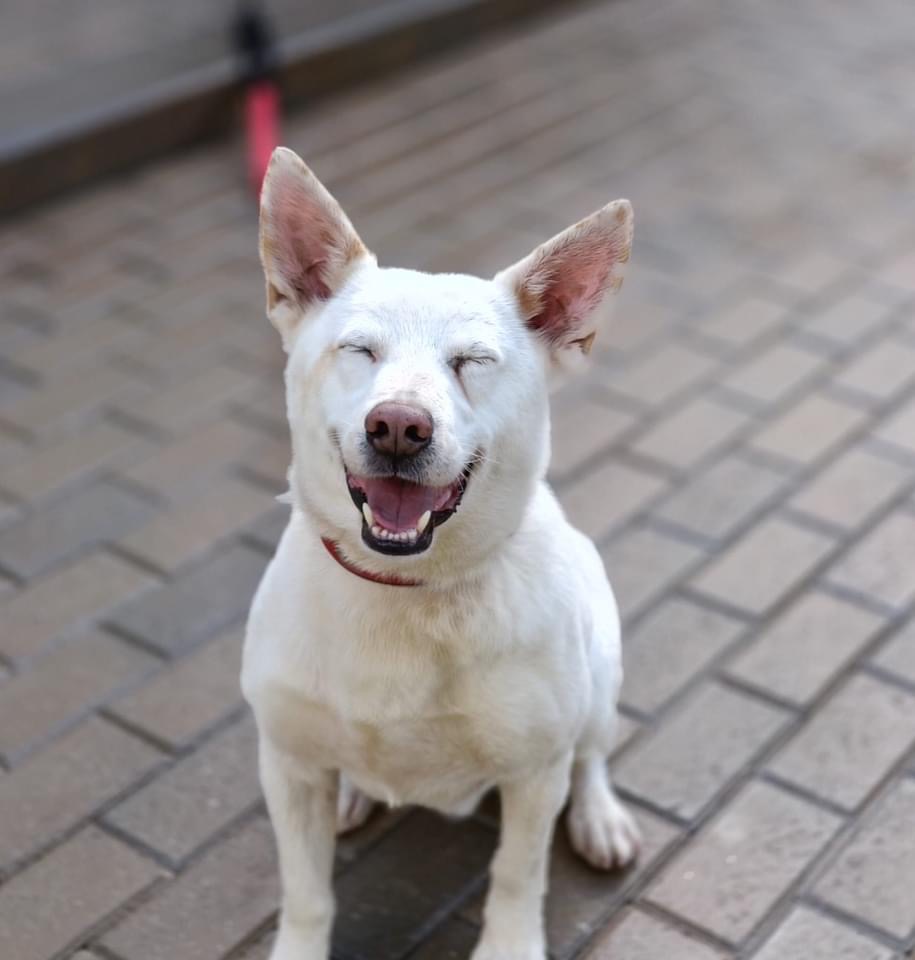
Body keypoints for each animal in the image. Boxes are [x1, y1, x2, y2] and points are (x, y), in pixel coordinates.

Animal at [242, 146, 640, 960]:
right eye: (359, 350)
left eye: (471, 361)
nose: (398, 426)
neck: (403, 589)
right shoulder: (287, 763)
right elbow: (306, 892)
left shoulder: (533, 771)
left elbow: (517, 874)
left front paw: (509, 945)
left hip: (597, 675)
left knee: (591, 753)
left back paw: (598, 816)